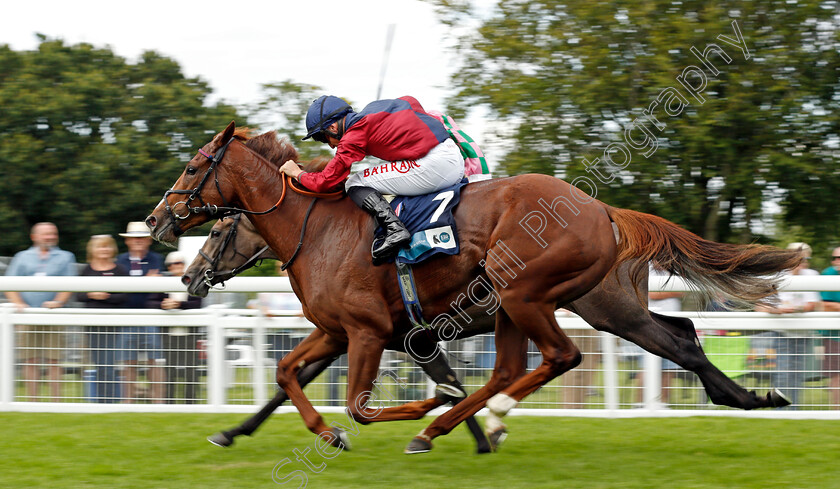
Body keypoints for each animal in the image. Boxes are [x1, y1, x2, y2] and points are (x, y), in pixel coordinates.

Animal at [148, 123, 796, 454]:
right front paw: (251, 430)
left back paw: (472, 420)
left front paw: (435, 416)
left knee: (560, 357)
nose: (158, 226)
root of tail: (603, 209)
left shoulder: (371, 331)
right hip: (587, 305)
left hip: (533, 295)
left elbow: (362, 403)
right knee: (675, 336)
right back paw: (750, 397)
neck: (319, 228)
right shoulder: (340, 331)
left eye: (193, 167)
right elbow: (286, 377)